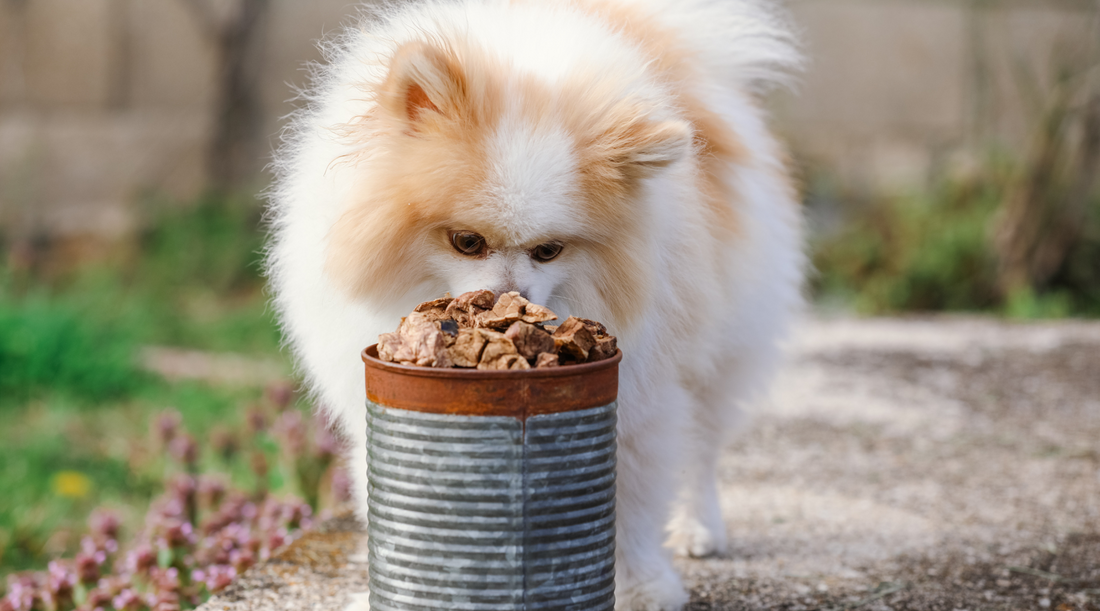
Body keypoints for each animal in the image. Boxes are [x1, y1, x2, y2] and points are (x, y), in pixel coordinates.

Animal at [264, 2, 800, 607]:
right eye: (466, 242)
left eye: (549, 251)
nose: (503, 302)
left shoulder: (647, 389)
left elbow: (638, 498)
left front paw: (644, 585)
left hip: (726, 344)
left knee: (704, 448)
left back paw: (700, 528)